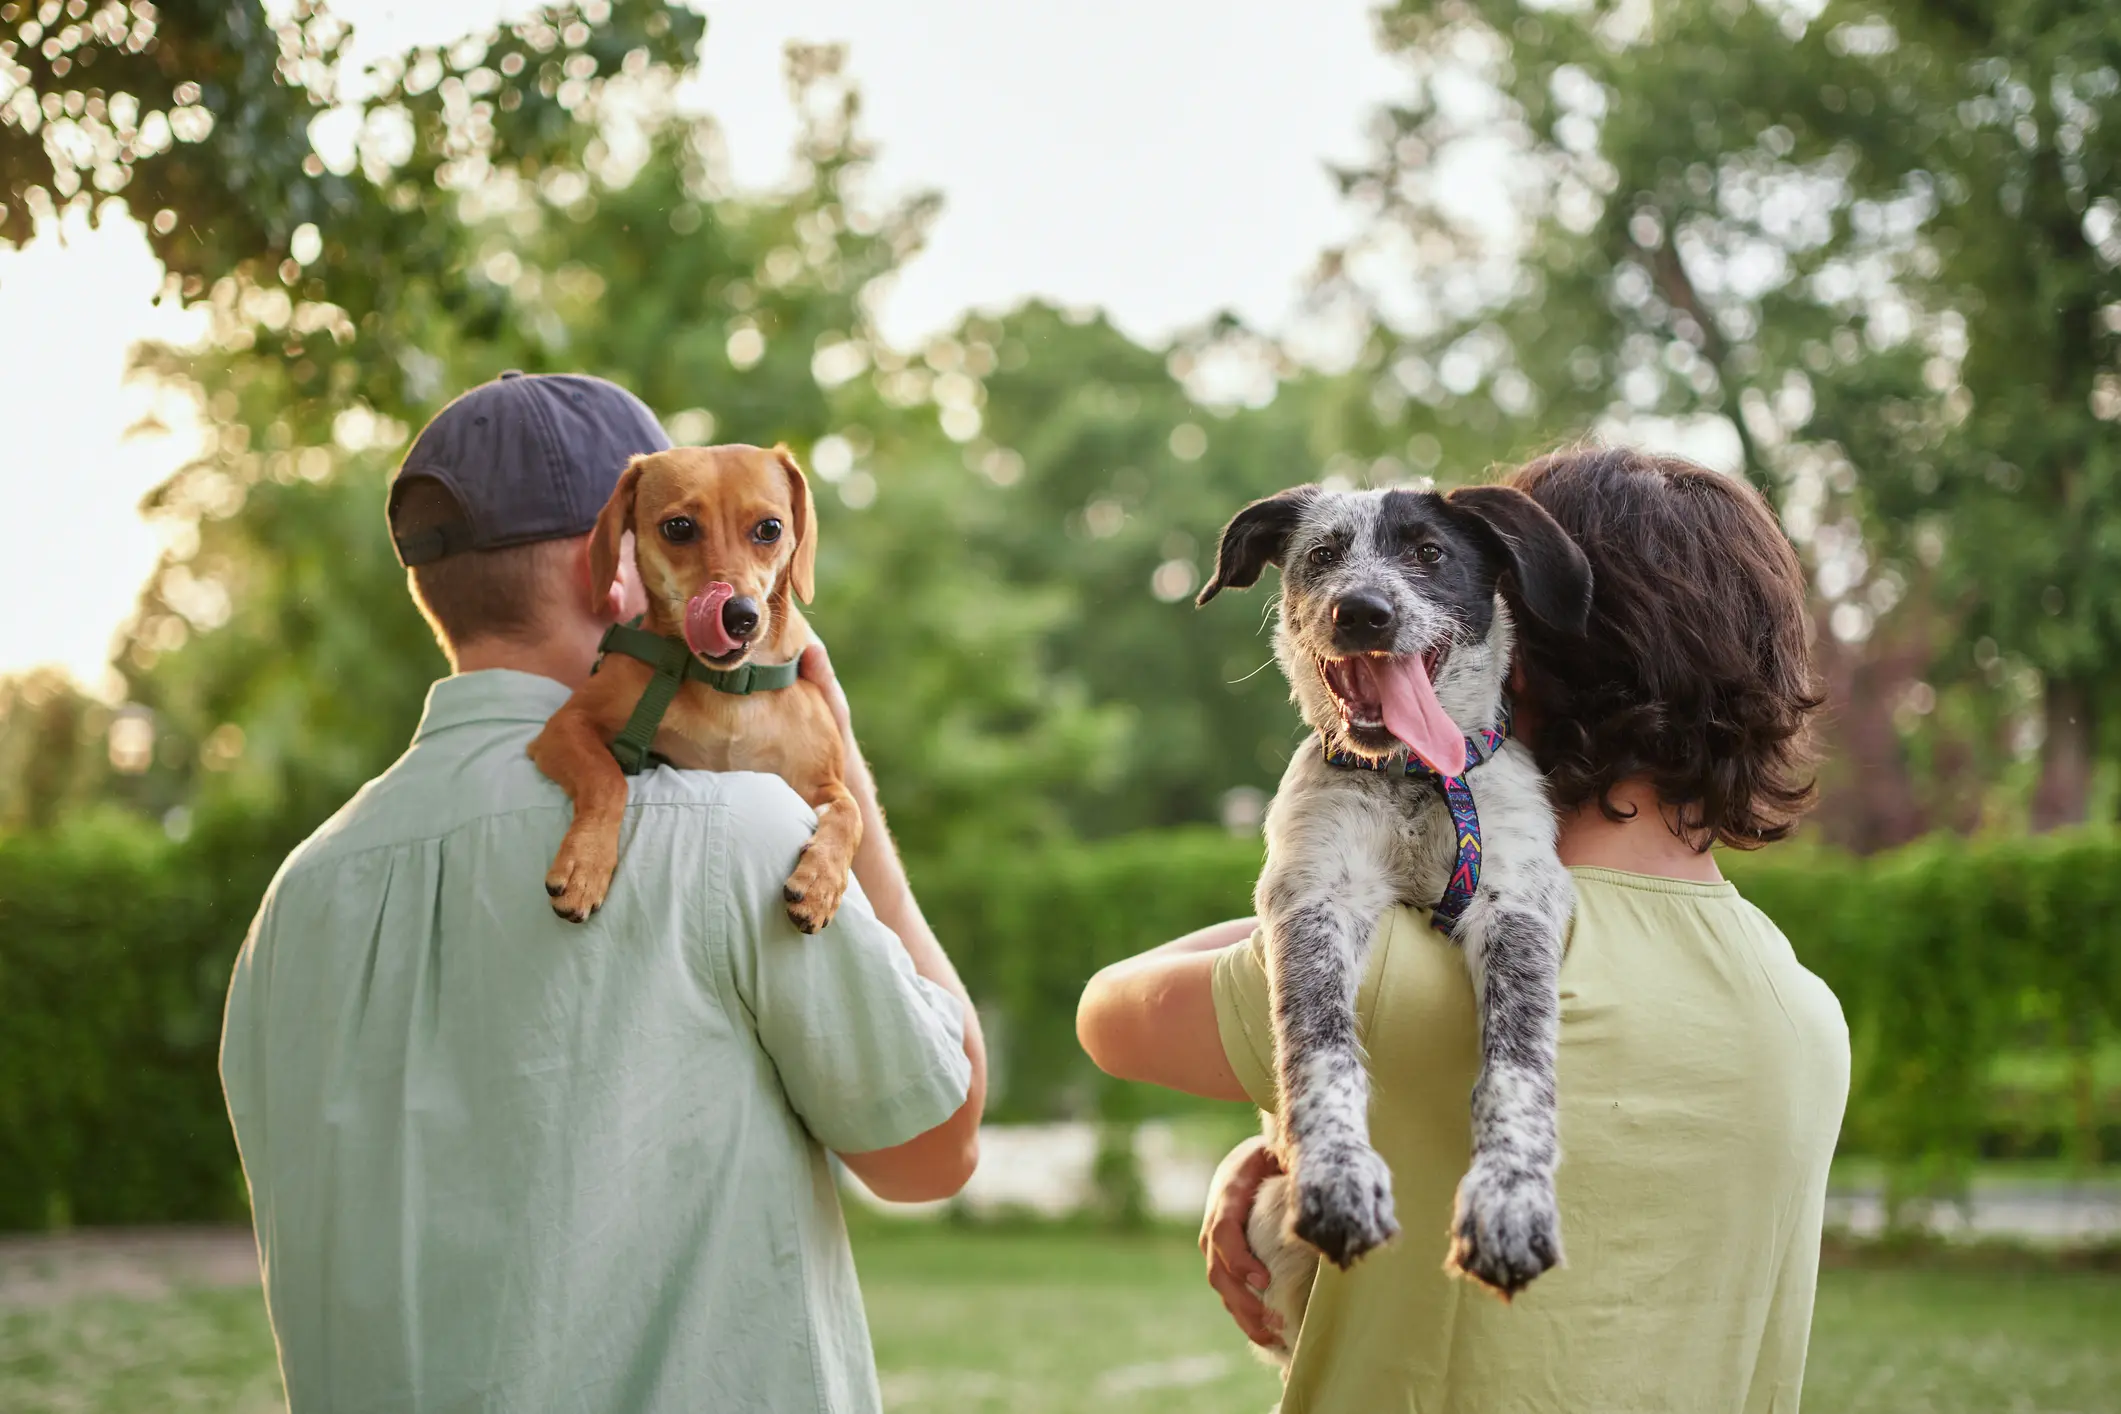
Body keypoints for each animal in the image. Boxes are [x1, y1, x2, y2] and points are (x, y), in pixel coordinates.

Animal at [1204, 483, 1586, 1348]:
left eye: (1428, 553)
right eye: (1322, 554)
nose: (1362, 612)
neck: (1411, 778)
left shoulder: (1516, 904)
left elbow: (1517, 1069)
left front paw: (1510, 1203)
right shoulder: (1313, 899)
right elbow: (1320, 1051)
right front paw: (1338, 1179)